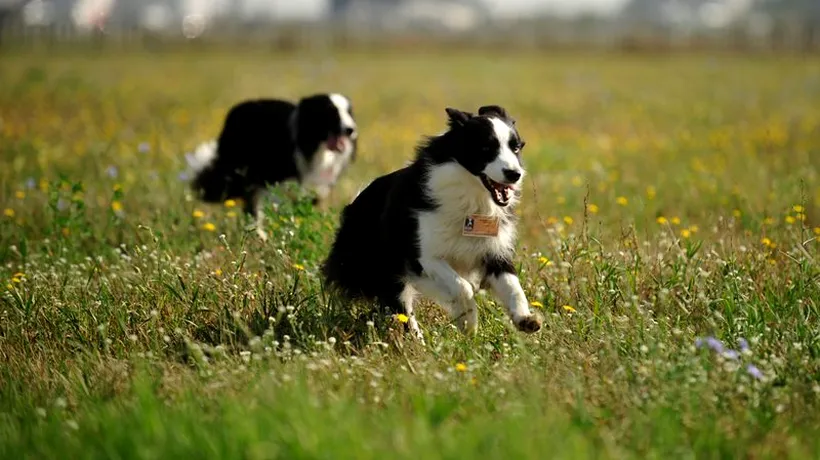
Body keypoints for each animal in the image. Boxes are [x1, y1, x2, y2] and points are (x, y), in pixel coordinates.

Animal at [187, 92, 358, 239]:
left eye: (349, 113)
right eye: (331, 112)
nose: (351, 130)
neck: (314, 150)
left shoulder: (314, 190)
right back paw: (259, 235)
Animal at [322, 106, 544, 340]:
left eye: (516, 148)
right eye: (485, 148)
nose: (514, 174)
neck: (472, 199)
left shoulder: (493, 250)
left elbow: (513, 286)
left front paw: (526, 319)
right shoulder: (423, 255)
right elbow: (462, 287)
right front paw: (468, 321)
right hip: (382, 263)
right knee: (401, 305)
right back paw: (416, 341)